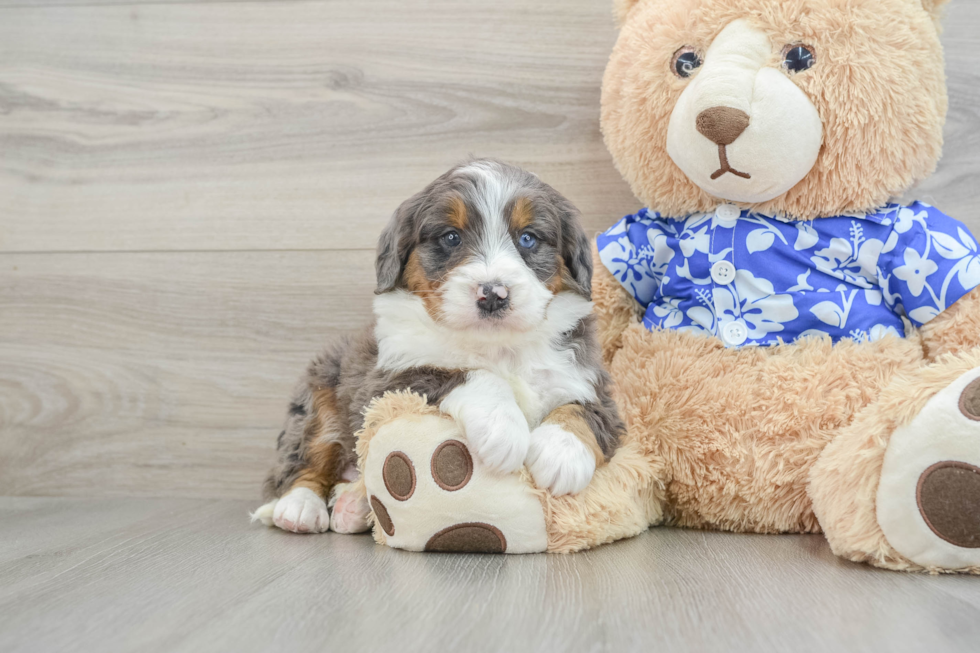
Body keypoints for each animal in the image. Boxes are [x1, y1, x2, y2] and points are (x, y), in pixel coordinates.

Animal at [253, 160, 620, 532]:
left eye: (528, 238)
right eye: (451, 237)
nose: (493, 293)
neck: (498, 346)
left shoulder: (588, 379)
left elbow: (583, 410)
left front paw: (562, 453)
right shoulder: (387, 381)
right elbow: (467, 374)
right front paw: (503, 429)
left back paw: (351, 506)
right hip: (320, 393)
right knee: (305, 455)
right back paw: (300, 507)